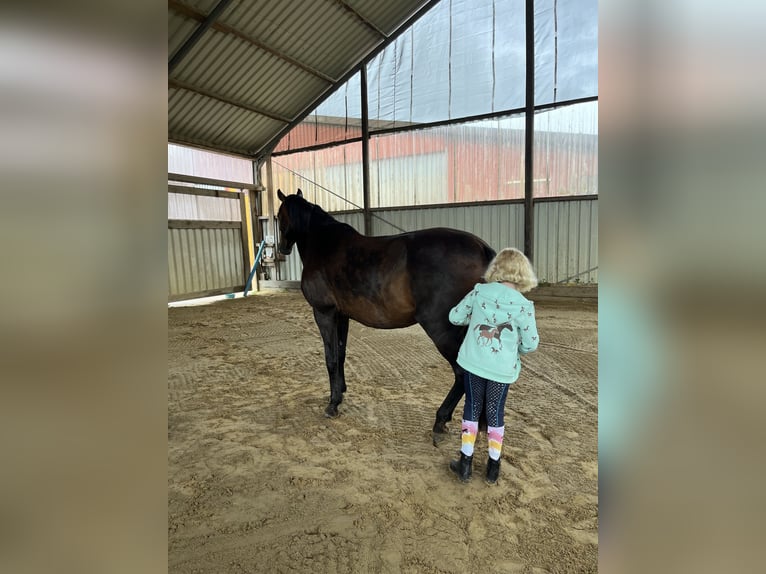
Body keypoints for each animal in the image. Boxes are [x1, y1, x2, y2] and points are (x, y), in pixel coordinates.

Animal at [276, 189, 495, 444]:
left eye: (279, 216)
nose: (282, 249)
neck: (324, 245)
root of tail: (480, 248)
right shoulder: (342, 316)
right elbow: (340, 354)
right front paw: (341, 391)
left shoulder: (324, 313)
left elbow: (330, 358)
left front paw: (332, 404)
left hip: (442, 329)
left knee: (462, 373)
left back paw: (441, 421)